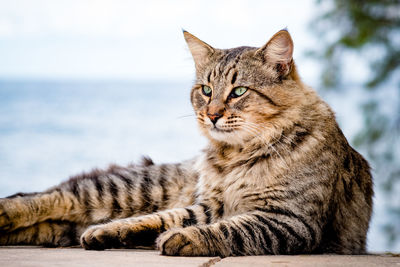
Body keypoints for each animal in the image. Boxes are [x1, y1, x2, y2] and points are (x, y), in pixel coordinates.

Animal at [0, 29, 372, 258]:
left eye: (239, 91)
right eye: (206, 90)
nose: (212, 115)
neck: (235, 156)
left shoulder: (289, 219)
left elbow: (227, 229)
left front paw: (180, 238)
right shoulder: (213, 206)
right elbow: (164, 217)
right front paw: (115, 230)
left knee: (51, 221)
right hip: (128, 188)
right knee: (52, 196)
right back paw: (9, 213)